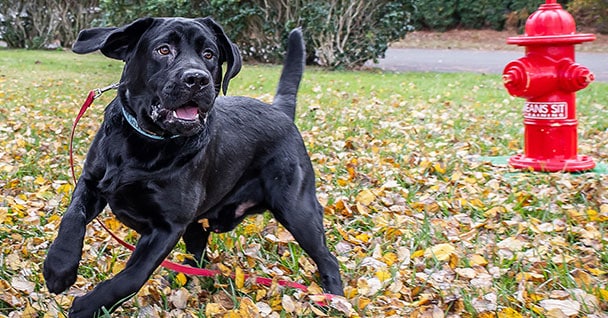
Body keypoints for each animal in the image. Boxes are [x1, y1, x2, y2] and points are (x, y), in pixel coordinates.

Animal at [43, 18, 344, 318]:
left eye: (209, 54)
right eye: (163, 49)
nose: (197, 79)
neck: (144, 144)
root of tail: (281, 111)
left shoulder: (167, 227)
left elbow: (132, 276)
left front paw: (87, 306)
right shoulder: (91, 182)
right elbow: (72, 217)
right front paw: (59, 267)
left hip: (297, 210)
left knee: (327, 258)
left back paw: (336, 299)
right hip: (198, 226)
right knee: (197, 257)